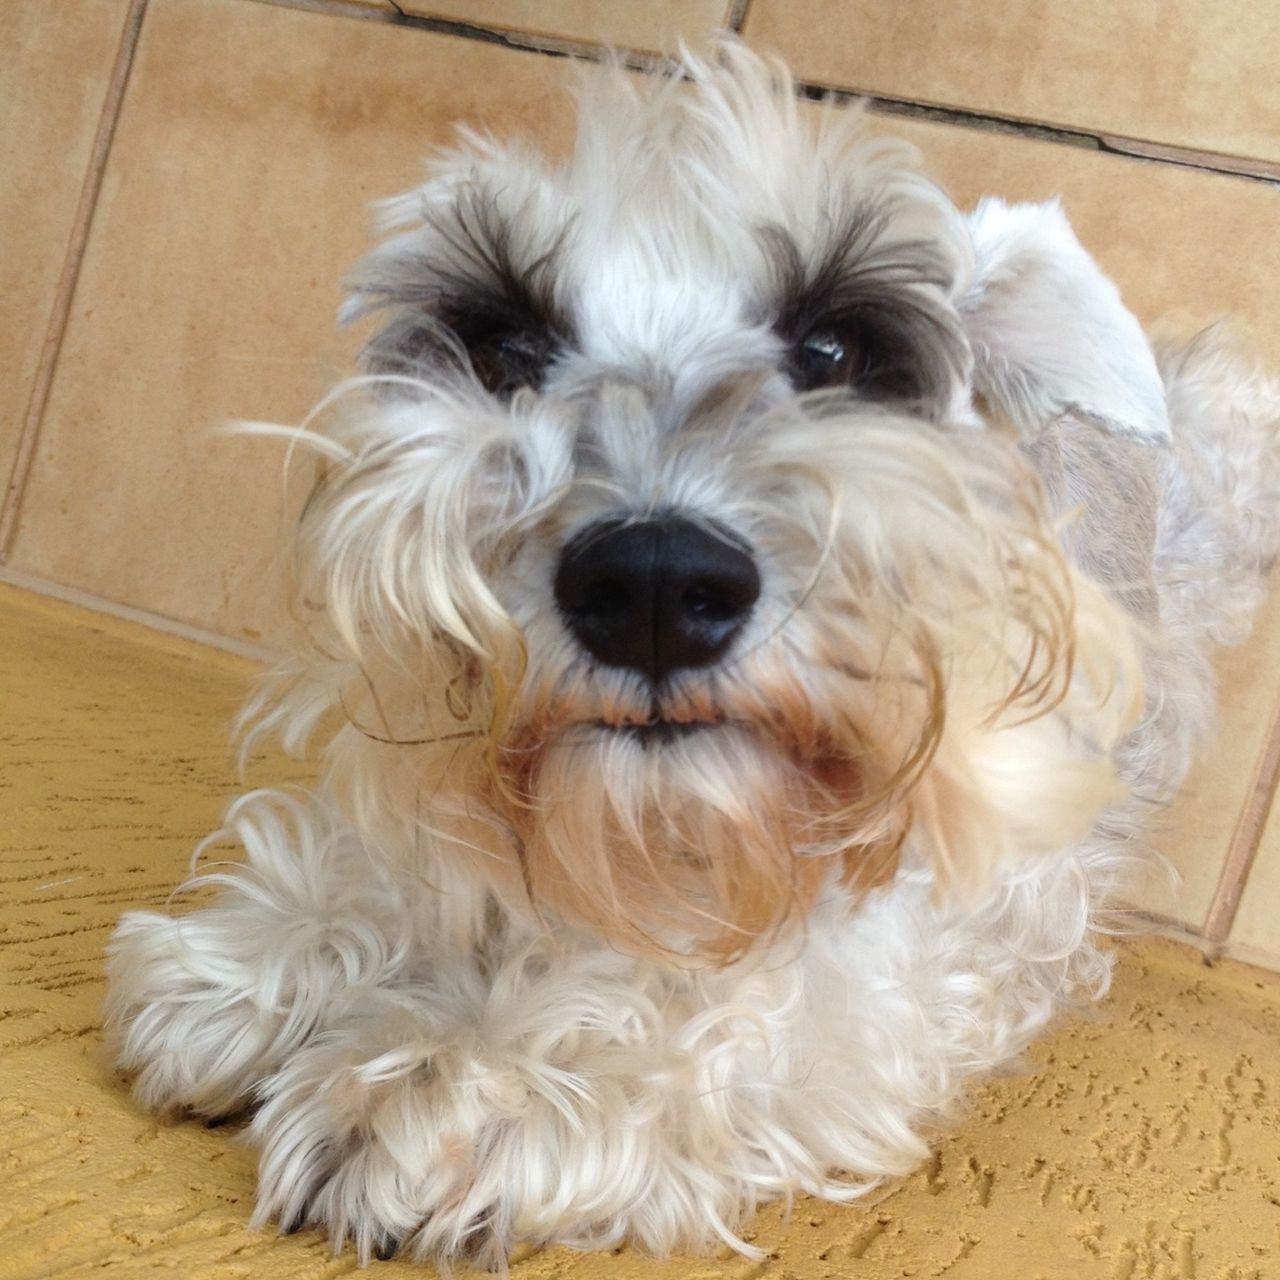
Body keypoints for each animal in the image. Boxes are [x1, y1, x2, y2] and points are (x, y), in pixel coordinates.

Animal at [107, 42, 1280, 1269]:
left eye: (835, 346)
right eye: (504, 342)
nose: (654, 588)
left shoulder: (900, 958)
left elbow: (721, 1014)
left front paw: (453, 1079)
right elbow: (409, 846)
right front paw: (260, 964)